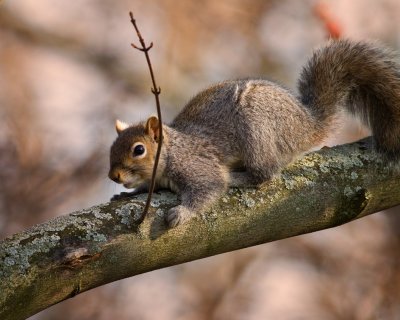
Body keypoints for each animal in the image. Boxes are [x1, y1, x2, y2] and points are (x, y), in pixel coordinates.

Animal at [108, 40, 400, 228]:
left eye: (138, 149)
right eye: (112, 148)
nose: (114, 177)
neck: (173, 151)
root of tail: (308, 125)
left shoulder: (197, 166)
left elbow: (209, 187)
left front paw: (181, 213)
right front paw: (126, 194)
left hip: (258, 129)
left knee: (265, 174)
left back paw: (238, 177)